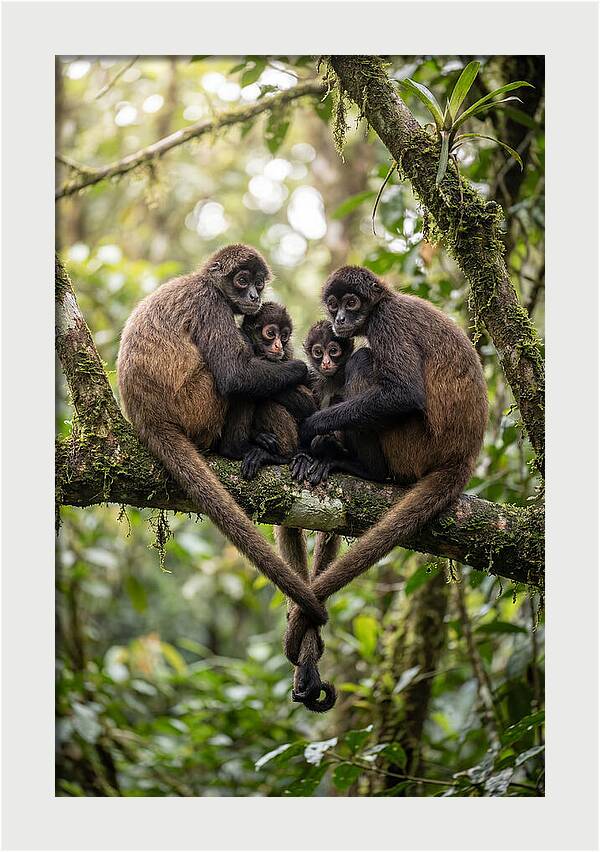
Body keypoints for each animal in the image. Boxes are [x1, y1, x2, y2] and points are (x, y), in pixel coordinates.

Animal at [117, 244, 327, 628]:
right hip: (198, 406)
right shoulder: (210, 304)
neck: (204, 281)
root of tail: (147, 416)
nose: (254, 296)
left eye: (259, 282)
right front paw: (301, 370)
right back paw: (237, 448)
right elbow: (234, 375)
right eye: (242, 280)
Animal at [284, 265, 488, 676]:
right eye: (334, 305)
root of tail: (464, 455)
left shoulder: (386, 322)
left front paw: (313, 429)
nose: (340, 320)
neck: (386, 301)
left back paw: (361, 467)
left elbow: (404, 393)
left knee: (364, 360)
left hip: (413, 446)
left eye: (352, 303)